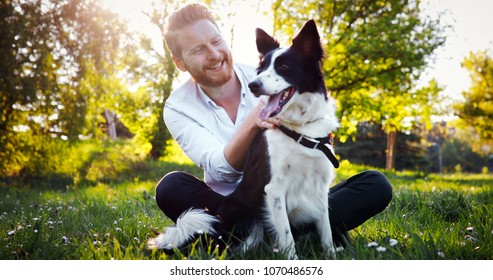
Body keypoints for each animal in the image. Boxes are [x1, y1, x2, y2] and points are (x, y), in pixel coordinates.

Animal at [146, 20, 338, 260]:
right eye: (262, 69)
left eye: (284, 66)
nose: (254, 85)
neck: (299, 129)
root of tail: (218, 228)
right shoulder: (274, 190)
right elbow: (287, 236)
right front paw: (293, 259)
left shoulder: (320, 185)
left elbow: (326, 229)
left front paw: (331, 255)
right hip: (244, 215)